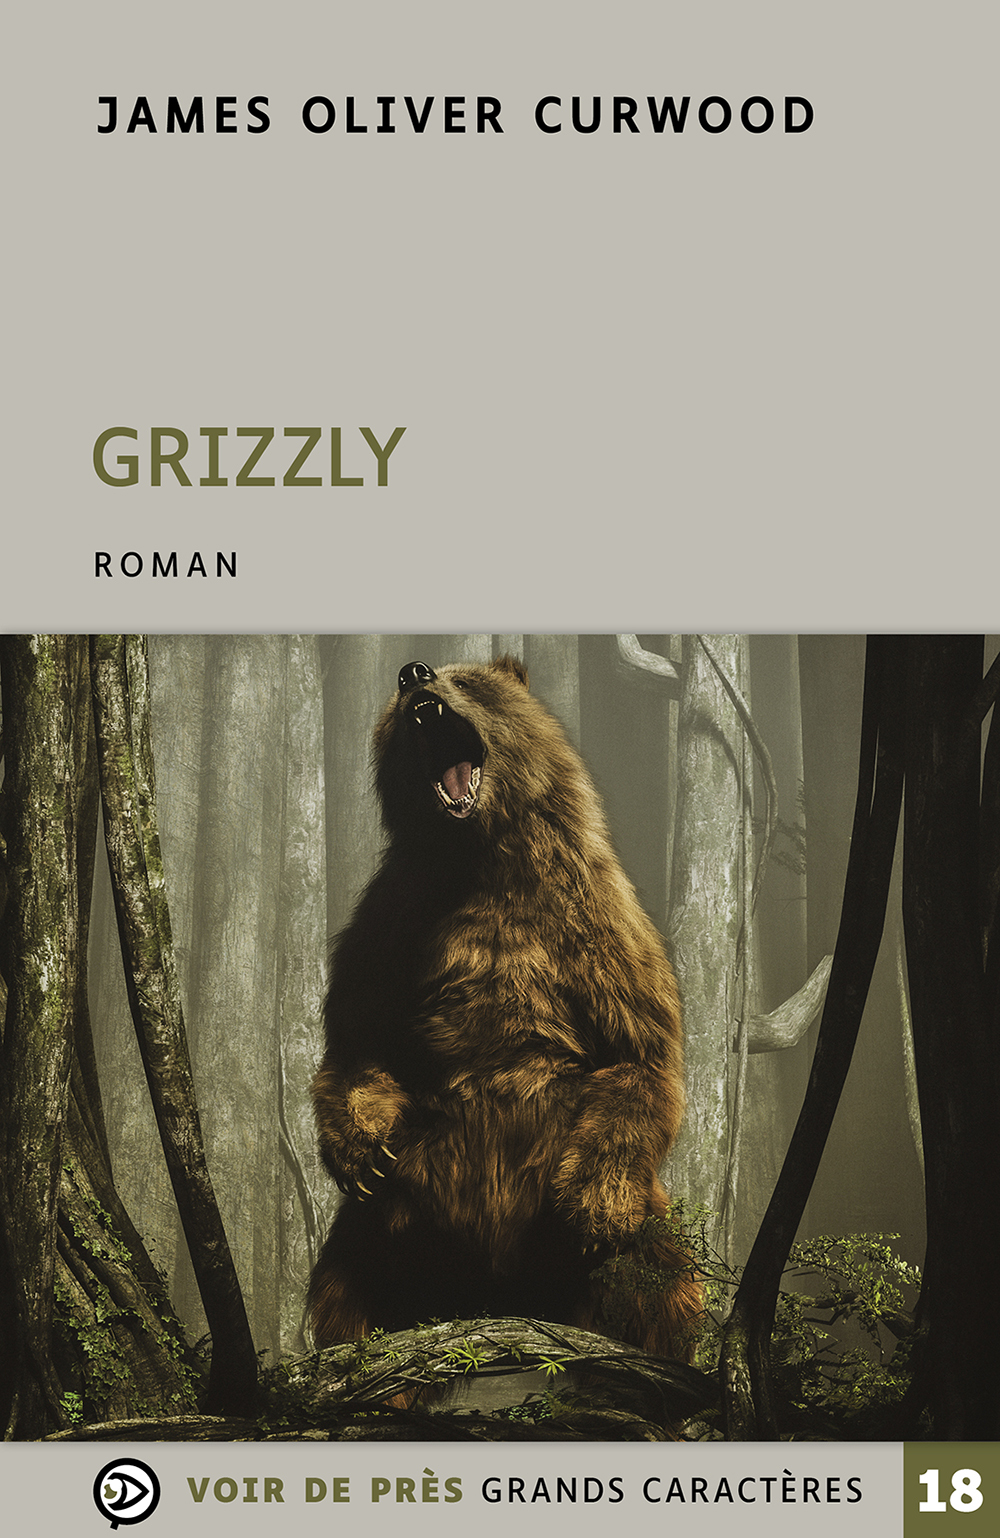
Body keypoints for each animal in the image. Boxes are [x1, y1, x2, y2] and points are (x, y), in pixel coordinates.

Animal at [308, 654, 701, 1362]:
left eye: (460, 677)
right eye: (405, 686)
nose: (412, 673)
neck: (480, 856)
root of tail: (495, 1295)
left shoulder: (596, 917)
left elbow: (639, 1052)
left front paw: (593, 1211)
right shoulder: (390, 922)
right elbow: (358, 1042)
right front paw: (361, 1149)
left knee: (660, 1277)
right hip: (389, 1223)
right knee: (347, 1278)